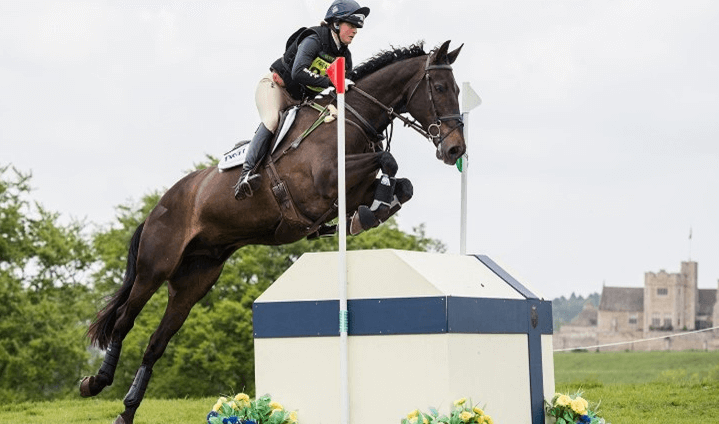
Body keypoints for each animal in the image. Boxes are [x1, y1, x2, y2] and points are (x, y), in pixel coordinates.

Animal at [80, 40, 465, 424]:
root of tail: (158, 207)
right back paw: (95, 383)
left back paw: (127, 411)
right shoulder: (326, 182)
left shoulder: (351, 189)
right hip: (155, 267)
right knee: (123, 321)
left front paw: (368, 215)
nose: (455, 149)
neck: (350, 121)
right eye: (440, 88)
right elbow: (389, 162)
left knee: (156, 343)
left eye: (459, 90)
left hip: (194, 281)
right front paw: (371, 212)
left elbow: (402, 183)